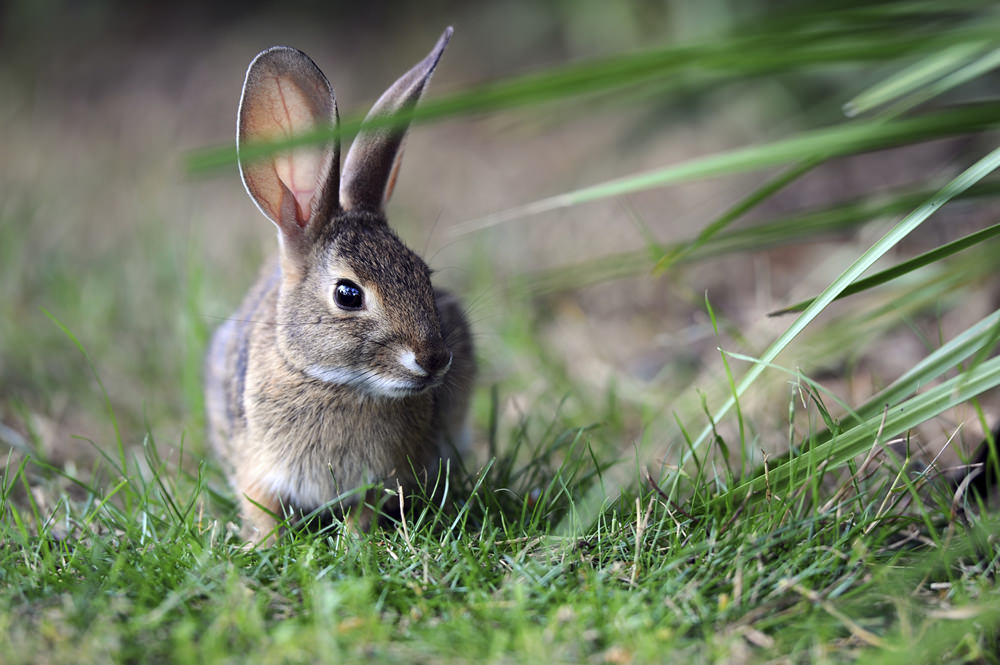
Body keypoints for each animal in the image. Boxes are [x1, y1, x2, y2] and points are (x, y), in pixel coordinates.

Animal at [203, 28, 476, 544]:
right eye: (348, 295)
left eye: (424, 276)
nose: (434, 359)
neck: (337, 383)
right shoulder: (257, 469)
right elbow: (263, 510)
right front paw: (266, 546)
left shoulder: (383, 477)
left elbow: (365, 510)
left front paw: (354, 543)